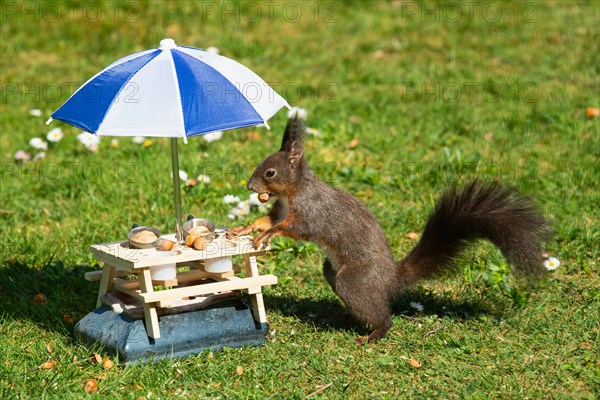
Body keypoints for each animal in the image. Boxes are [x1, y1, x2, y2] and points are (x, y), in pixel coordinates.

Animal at [230, 115, 548, 344]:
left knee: (382, 315)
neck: (292, 193)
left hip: (354, 280)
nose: (250, 187)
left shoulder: (311, 212)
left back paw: (373, 334)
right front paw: (244, 228)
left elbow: (295, 229)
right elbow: (267, 220)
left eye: (270, 172)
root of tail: (390, 278)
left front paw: (268, 235)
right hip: (332, 271)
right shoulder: (280, 210)